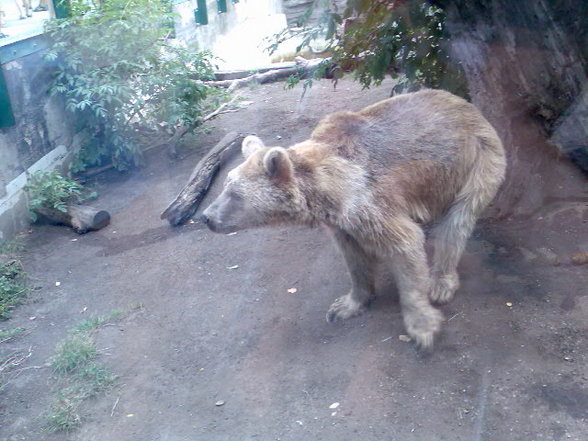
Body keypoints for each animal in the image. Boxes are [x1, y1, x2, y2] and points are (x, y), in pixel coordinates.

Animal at [201, 89, 506, 348]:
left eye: (235, 194)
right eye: (226, 184)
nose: (206, 217)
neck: (324, 191)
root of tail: (466, 104)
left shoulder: (367, 200)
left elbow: (405, 245)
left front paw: (422, 326)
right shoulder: (342, 223)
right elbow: (354, 257)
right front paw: (347, 305)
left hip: (478, 160)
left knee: (457, 223)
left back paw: (441, 282)